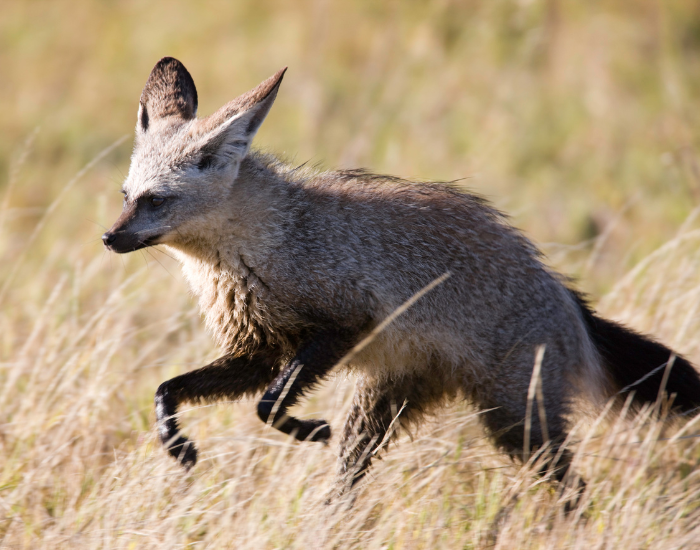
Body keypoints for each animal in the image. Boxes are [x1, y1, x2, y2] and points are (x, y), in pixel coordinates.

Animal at [103, 57, 700, 495]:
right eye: (126, 195)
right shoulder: (262, 350)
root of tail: (569, 299)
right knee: (349, 479)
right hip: (386, 409)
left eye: (156, 201)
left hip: (516, 423)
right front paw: (175, 442)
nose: (109, 238)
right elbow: (168, 388)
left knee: (575, 489)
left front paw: (302, 428)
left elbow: (269, 405)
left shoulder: (340, 326)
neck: (272, 243)